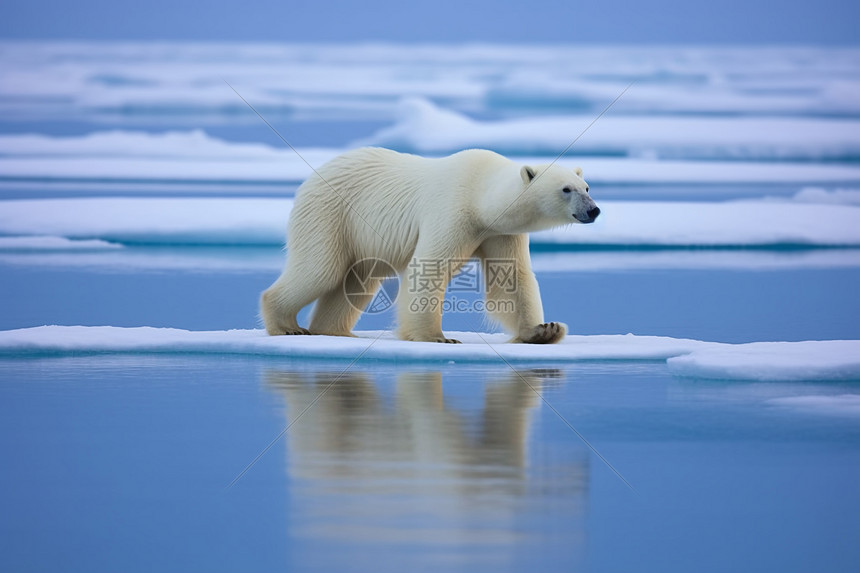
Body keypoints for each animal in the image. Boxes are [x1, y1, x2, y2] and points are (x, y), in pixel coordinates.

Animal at [260, 149, 596, 344]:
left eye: (587, 187)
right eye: (566, 189)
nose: (594, 210)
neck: (480, 194)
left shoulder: (499, 232)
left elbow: (511, 278)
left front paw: (544, 330)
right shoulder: (453, 210)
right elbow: (430, 267)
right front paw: (436, 338)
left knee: (357, 280)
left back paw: (333, 330)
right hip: (331, 213)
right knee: (321, 269)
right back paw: (287, 326)